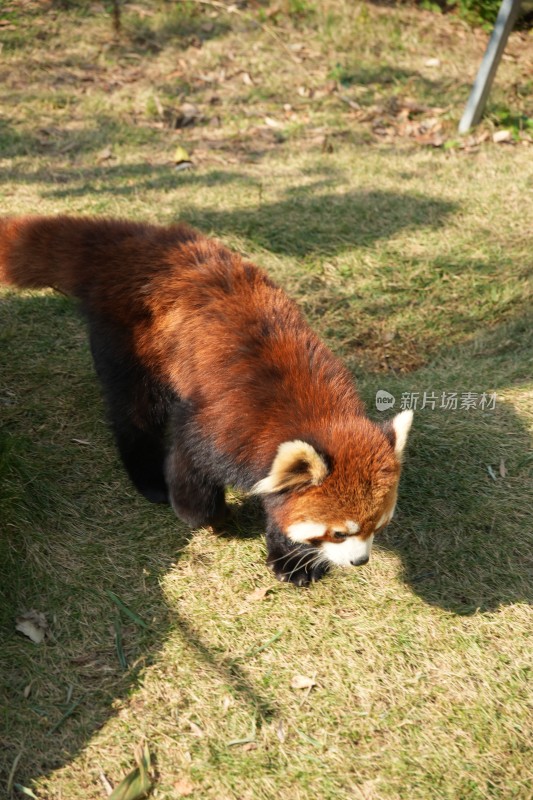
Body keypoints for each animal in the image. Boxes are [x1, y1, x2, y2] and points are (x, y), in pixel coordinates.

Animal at [0, 216, 412, 584]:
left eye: (377, 526)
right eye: (339, 532)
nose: (360, 561)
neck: (313, 412)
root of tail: (139, 245)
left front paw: (293, 561)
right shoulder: (223, 427)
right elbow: (190, 465)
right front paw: (212, 519)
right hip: (134, 345)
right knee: (135, 411)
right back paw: (149, 478)